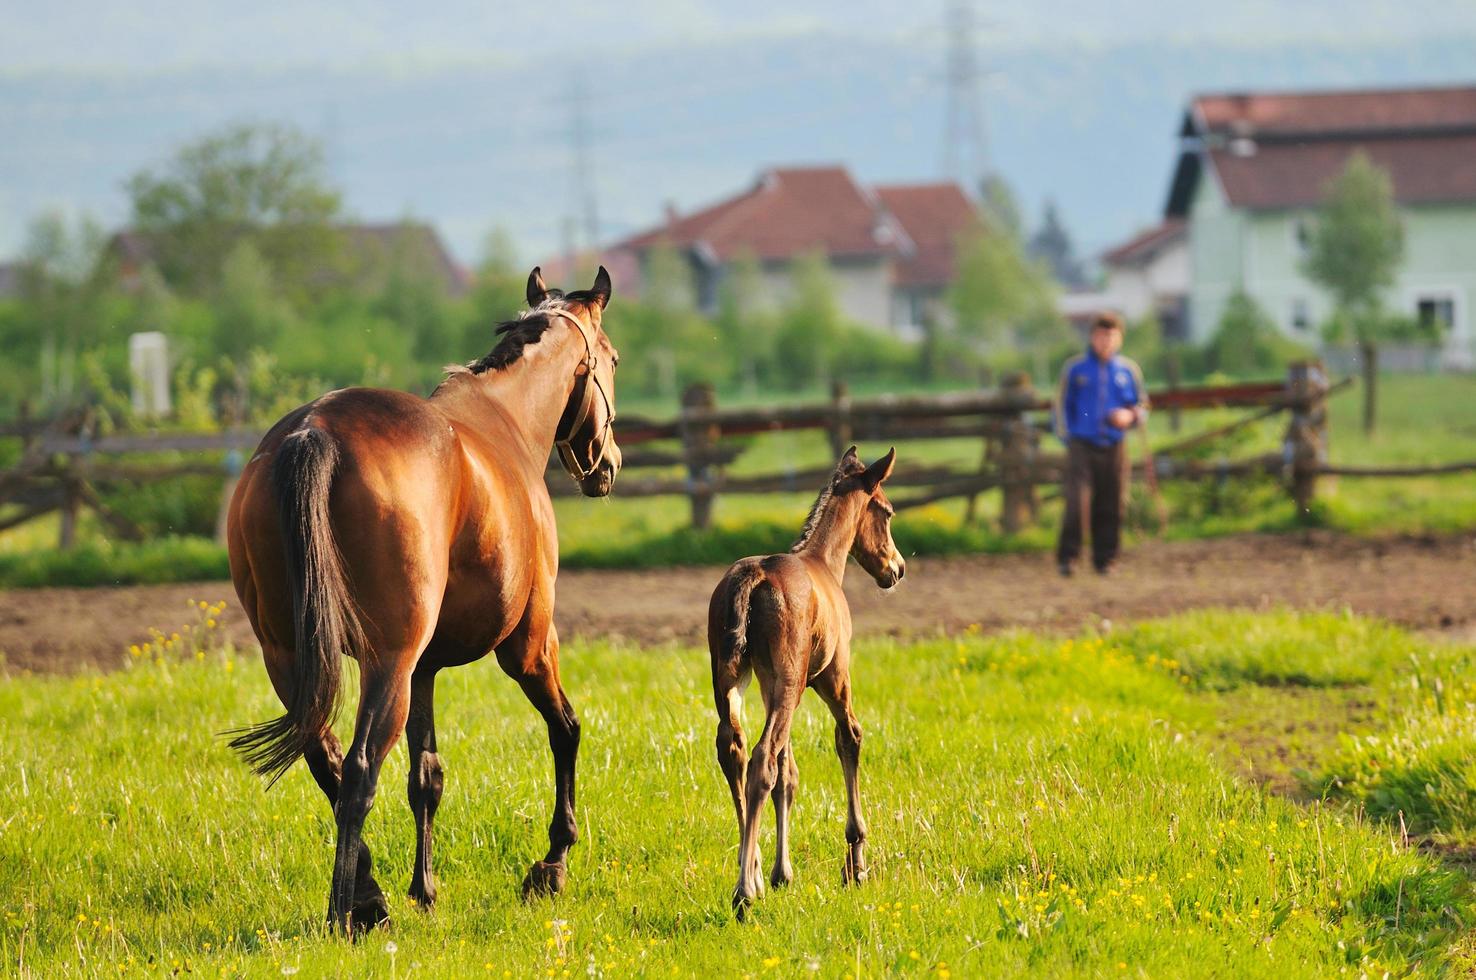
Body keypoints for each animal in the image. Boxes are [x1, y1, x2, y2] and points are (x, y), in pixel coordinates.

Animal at [224, 265, 622, 932]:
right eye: (612, 359)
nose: (607, 463)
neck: (505, 418)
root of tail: (315, 431)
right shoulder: (529, 647)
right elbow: (566, 730)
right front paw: (552, 864)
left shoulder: (427, 670)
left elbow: (426, 776)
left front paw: (425, 887)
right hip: (389, 662)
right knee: (358, 772)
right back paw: (349, 913)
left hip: (292, 657)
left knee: (326, 760)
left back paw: (369, 895)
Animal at [702, 448, 897, 915]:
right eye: (887, 512)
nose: (896, 568)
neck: (824, 564)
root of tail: (753, 577)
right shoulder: (832, 678)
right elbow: (849, 737)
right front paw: (856, 866)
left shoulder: (770, 685)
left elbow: (789, 777)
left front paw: (781, 872)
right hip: (791, 683)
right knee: (762, 760)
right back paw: (744, 891)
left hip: (735, 679)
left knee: (735, 750)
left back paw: (751, 871)